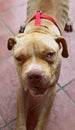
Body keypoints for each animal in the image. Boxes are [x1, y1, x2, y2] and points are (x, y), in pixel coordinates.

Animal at [7, 0, 72, 130]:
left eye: (50, 54)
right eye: (18, 58)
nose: (34, 75)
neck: (39, 29)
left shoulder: (51, 92)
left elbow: (43, 118)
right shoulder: (21, 88)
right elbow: (21, 115)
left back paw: (68, 21)